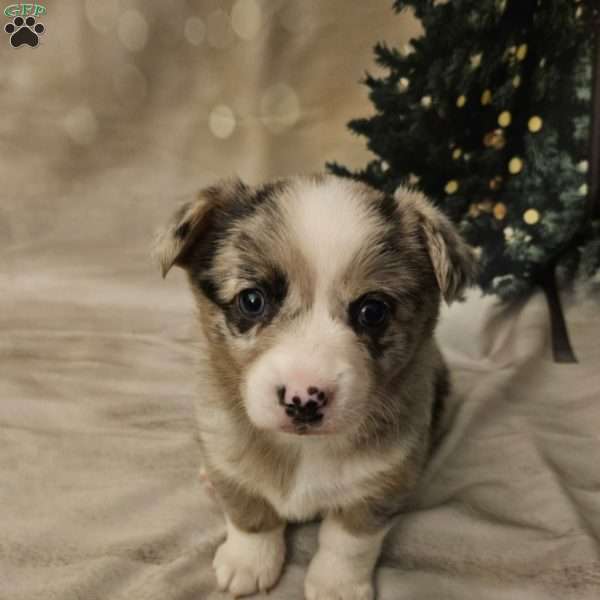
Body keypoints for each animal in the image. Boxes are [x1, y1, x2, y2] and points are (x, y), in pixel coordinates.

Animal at [156, 175, 478, 600]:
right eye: (252, 300)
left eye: (373, 311)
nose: (303, 399)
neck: (302, 448)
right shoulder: (224, 447)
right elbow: (249, 512)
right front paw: (248, 562)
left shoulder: (379, 485)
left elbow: (348, 541)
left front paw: (336, 584)